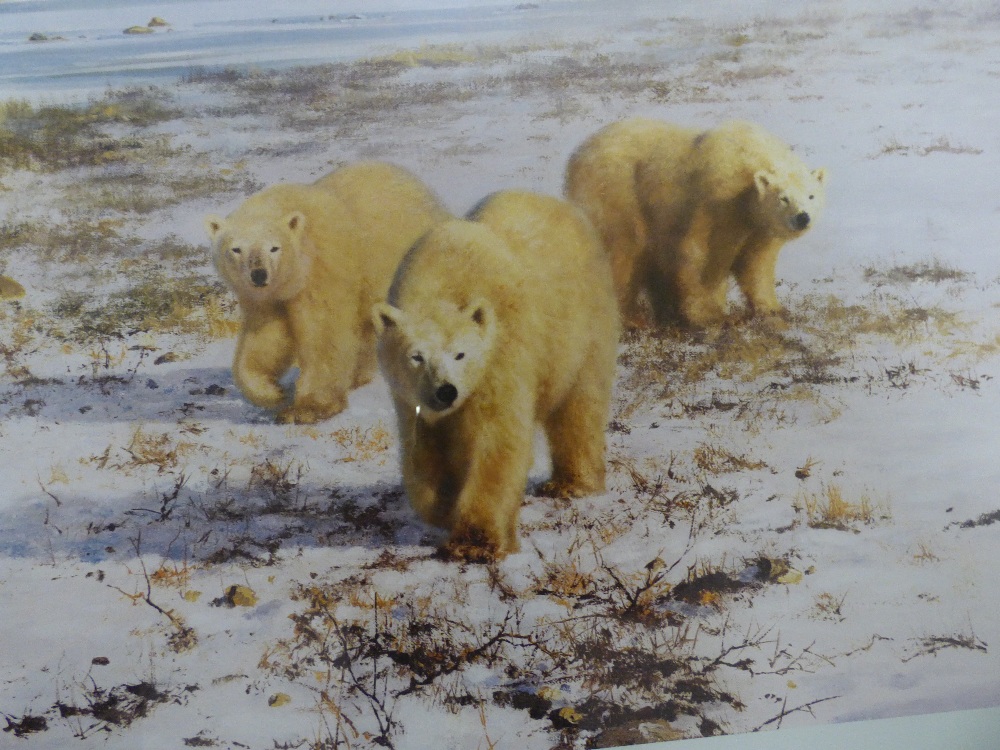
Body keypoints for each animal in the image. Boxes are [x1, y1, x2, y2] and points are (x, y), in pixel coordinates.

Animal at [205, 162, 448, 426]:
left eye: (274, 247)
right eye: (236, 249)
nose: (259, 274)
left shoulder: (323, 270)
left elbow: (322, 333)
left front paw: (307, 409)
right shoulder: (267, 298)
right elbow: (265, 337)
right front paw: (273, 392)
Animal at [372, 191, 620, 560]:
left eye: (461, 353)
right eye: (416, 356)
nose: (446, 391)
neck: (443, 277)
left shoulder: (501, 355)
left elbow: (496, 441)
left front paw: (475, 541)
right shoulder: (411, 398)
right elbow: (424, 450)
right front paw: (445, 507)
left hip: (582, 328)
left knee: (579, 405)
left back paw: (573, 483)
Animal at [564, 118, 828, 328]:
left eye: (811, 196)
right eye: (784, 198)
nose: (802, 217)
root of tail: (577, 155)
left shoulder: (759, 226)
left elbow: (756, 263)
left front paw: (773, 309)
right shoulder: (718, 200)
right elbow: (702, 256)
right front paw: (715, 316)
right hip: (618, 193)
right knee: (623, 253)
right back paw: (633, 319)